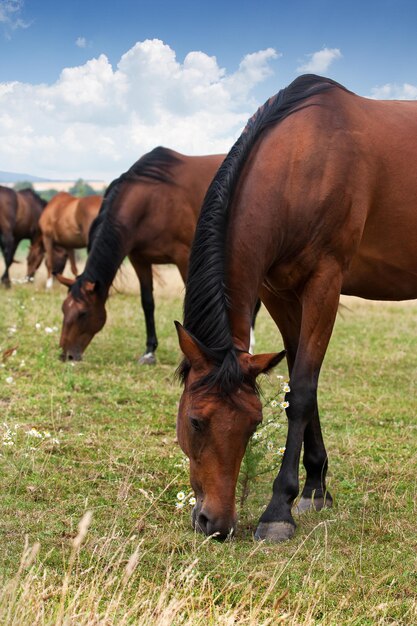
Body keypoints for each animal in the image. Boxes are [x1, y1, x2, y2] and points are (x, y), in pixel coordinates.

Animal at [57, 147, 226, 364]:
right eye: (64, 309)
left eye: (83, 313)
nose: (66, 355)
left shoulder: (184, 258)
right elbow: (147, 303)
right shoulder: (140, 260)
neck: (152, 201)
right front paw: (149, 351)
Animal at [174, 74, 416, 540]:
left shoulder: (325, 283)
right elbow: (299, 386)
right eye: (195, 421)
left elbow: (302, 390)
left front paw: (278, 510)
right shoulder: (279, 293)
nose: (215, 523)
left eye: (252, 425)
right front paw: (315, 488)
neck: (303, 163)